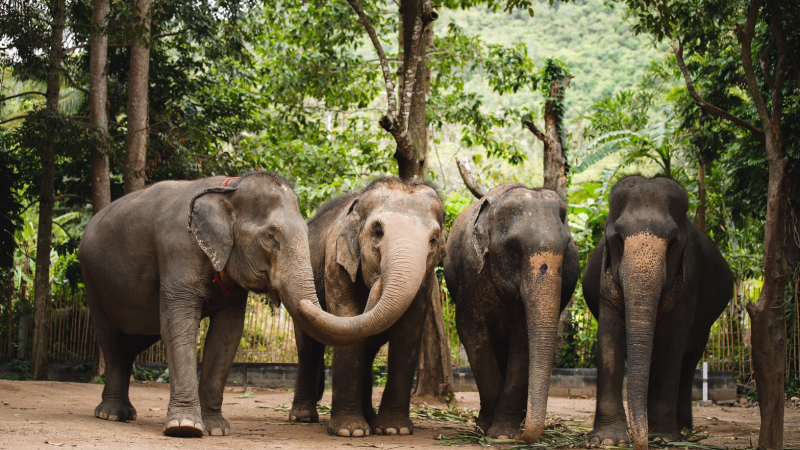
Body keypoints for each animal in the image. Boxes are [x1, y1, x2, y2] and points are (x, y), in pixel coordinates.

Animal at [78, 172, 357, 438]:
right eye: (270, 236)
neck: (229, 189)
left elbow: (227, 335)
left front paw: (216, 428)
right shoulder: (178, 248)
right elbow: (180, 326)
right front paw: (184, 427)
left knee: (134, 340)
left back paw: (124, 412)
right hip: (91, 278)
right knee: (111, 339)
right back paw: (112, 414)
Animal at [290, 177, 446, 437]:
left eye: (433, 240)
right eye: (378, 232)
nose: (379, 282)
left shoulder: (426, 280)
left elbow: (408, 332)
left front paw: (394, 430)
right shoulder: (335, 260)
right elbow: (348, 315)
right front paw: (349, 431)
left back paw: (371, 418)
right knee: (308, 347)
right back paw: (302, 417)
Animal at [443, 183, 579, 443]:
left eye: (567, 249)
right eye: (514, 248)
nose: (524, 437)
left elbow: (523, 340)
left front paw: (504, 433)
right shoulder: (472, 274)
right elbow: (471, 332)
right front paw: (487, 430)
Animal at [582, 175, 733, 450]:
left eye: (673, 242)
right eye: (618, 238)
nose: (639, 443)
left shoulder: (688, 283)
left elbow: (671, 344)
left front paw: (662, 437)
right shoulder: (604, 281)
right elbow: (609, 339)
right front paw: (608, 440)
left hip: (705, 326)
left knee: (688, 361)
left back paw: (683, 428)